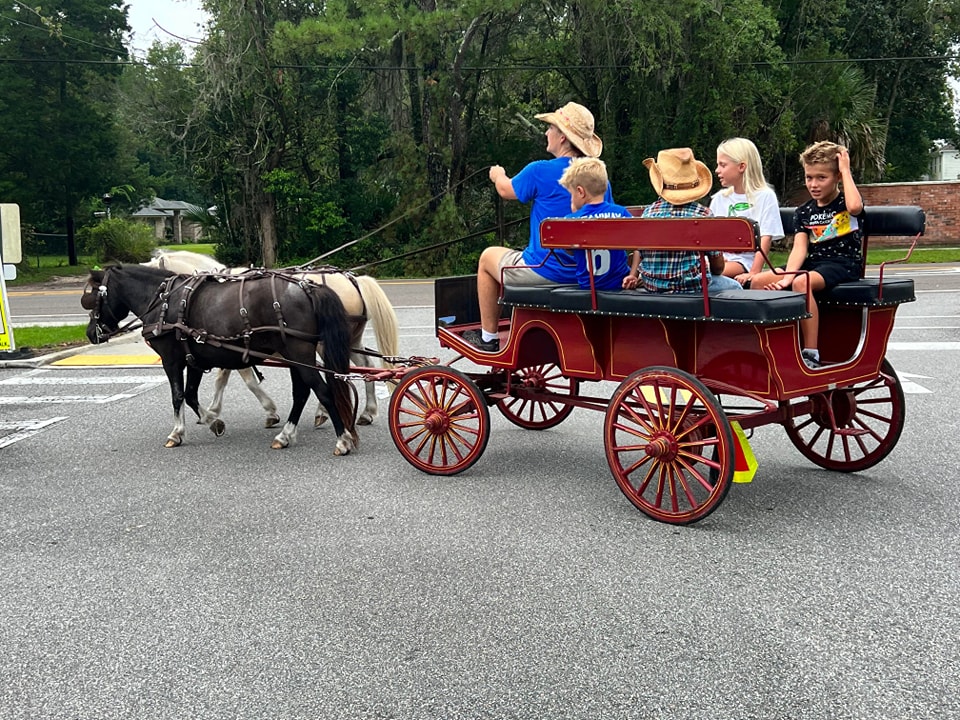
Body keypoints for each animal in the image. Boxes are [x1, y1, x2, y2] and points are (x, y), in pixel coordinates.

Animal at [82, 264, 358, 456]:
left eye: (93, 296)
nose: (90, 333)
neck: (163, 302)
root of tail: (308, 288)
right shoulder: (194, 358)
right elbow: (191, 395)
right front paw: (213, 422)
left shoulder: (171, 360)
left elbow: (177, 396)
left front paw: (177, 433)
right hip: (295, 355)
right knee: (302, 392)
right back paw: (285, 435)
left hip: (298, 351)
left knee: (322, 390)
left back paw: (342, 439)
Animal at [144, 249, 400, 428]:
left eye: (159, 293)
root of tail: (352, 280)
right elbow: (223, 378)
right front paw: (214, 412)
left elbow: (244, 380)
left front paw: (268, 412)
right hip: (349, 339)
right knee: (364, 365)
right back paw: (366, 412)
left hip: (321, 344)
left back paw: (327, 412)